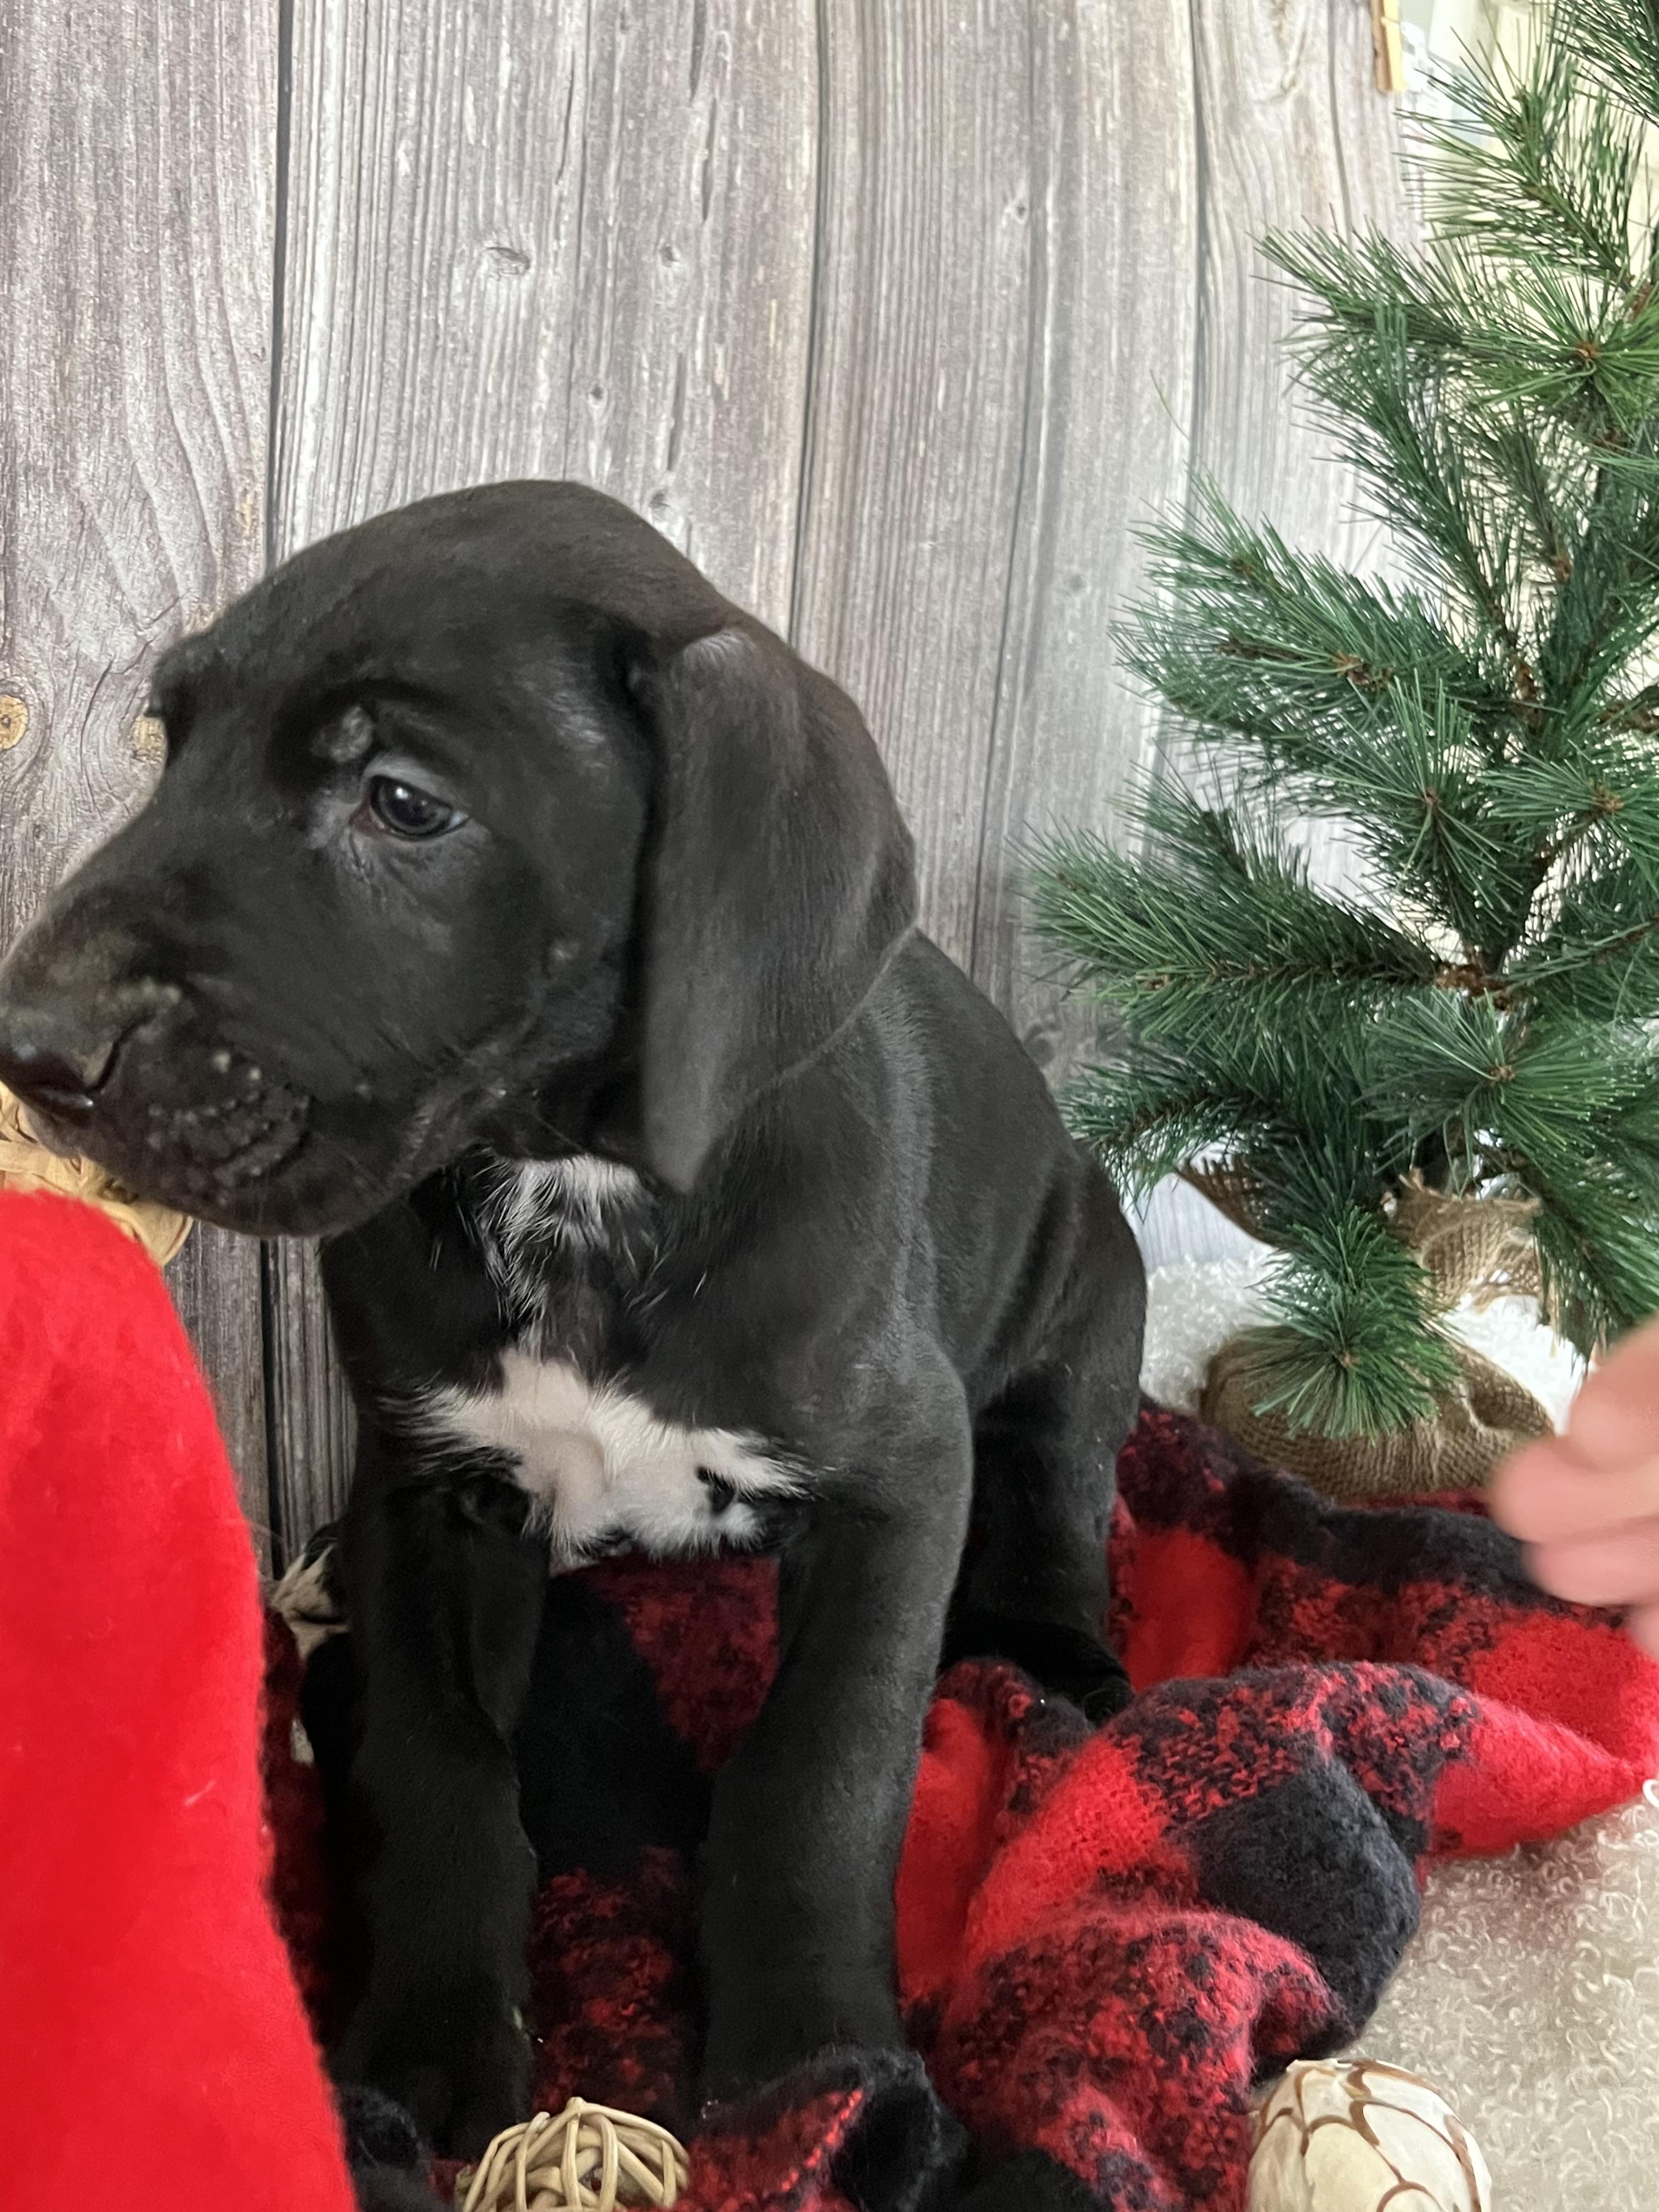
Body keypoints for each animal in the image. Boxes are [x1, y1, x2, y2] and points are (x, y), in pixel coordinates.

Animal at [0, 480, 1146, 2162]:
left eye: (403, 805)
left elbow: (823, 1772)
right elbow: (437, 1763)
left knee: (1062, 1482)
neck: (578, 1188)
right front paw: (425, 2040)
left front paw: (818, 2066)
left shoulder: (902, 1480)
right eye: (171, 743)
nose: (31, 1047)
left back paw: (1065, 1657)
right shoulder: (421, 1487)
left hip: (1087, 1287)